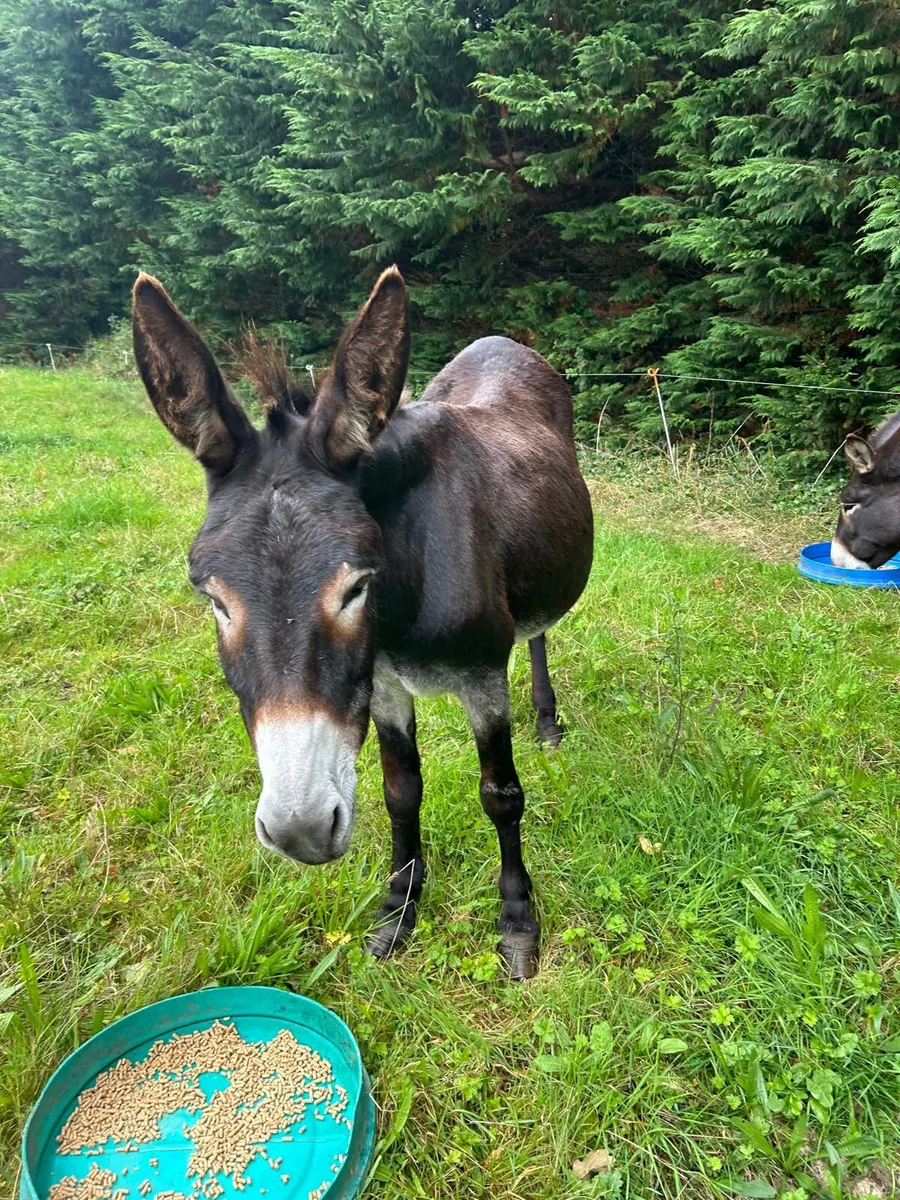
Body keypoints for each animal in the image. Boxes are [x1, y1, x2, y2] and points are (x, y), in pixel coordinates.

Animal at [132, 266, 593, 978]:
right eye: (215, 600)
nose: (299, 829)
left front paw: (518, 923)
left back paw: (546, 724)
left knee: (538, 632)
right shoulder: (384, 686)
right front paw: (398, 911)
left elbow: (501, 794)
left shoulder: (483, 678)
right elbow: (401, 791)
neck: (401, 605)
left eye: (355, 588)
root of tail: (500, 342)